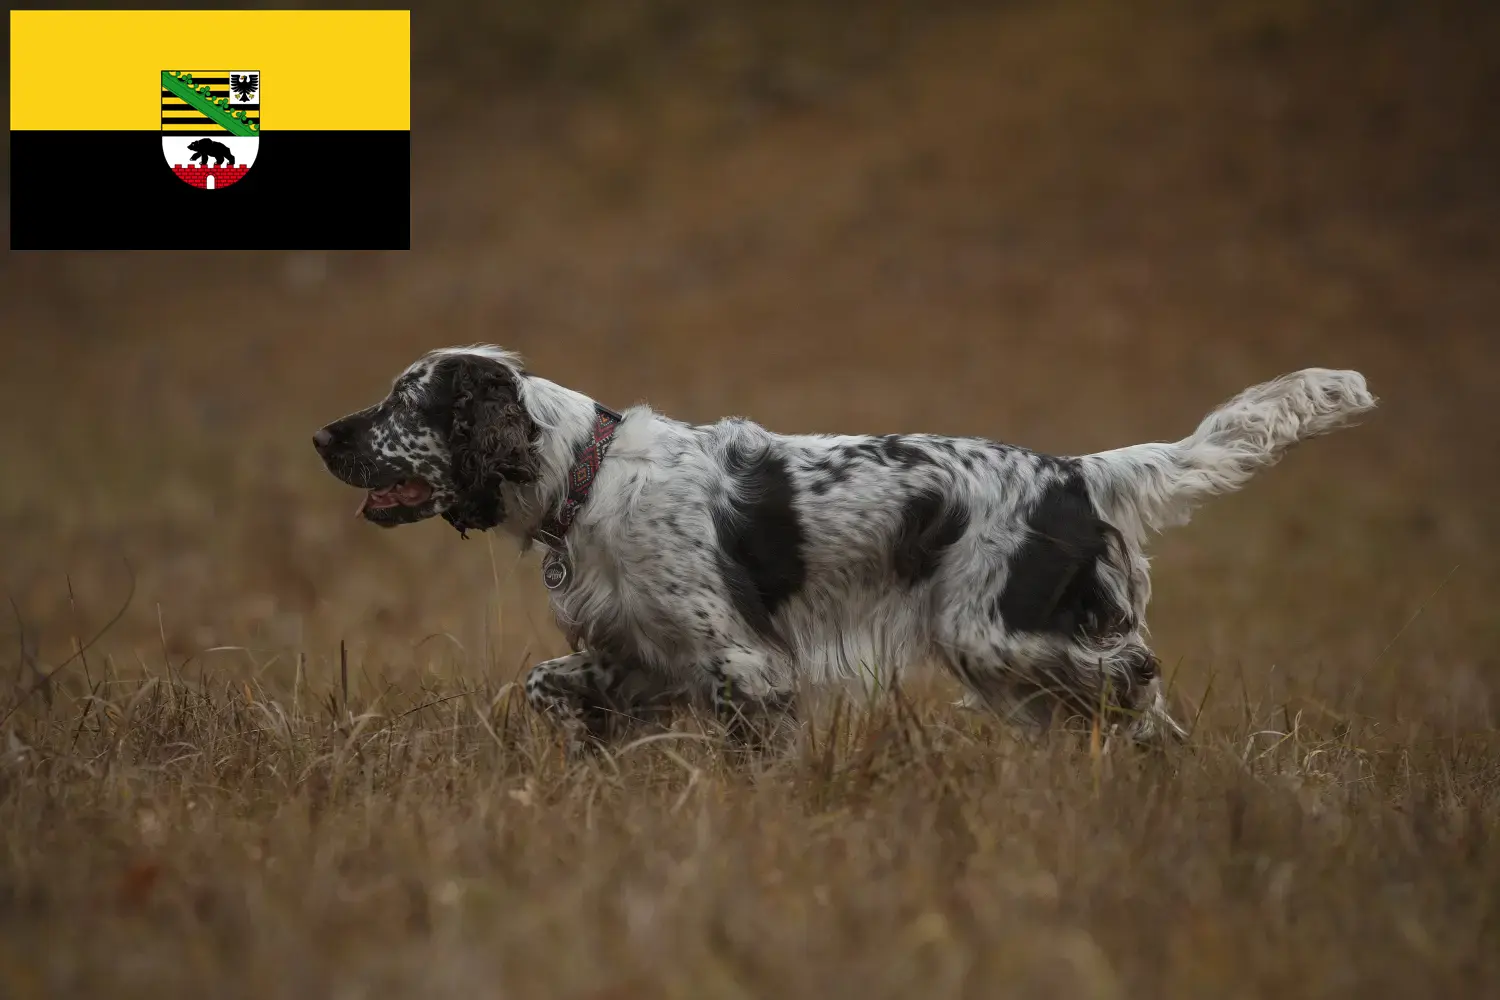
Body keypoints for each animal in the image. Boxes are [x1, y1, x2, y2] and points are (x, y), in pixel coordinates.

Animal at [310, 347, 1374, 746]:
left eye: (408, 400)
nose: (323, 436)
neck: (587, 474)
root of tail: (1078, 471)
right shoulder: (642, 654)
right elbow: (552, 684)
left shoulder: (747, 665)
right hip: (1007, 667)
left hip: (997, 635)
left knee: (1136, 673)